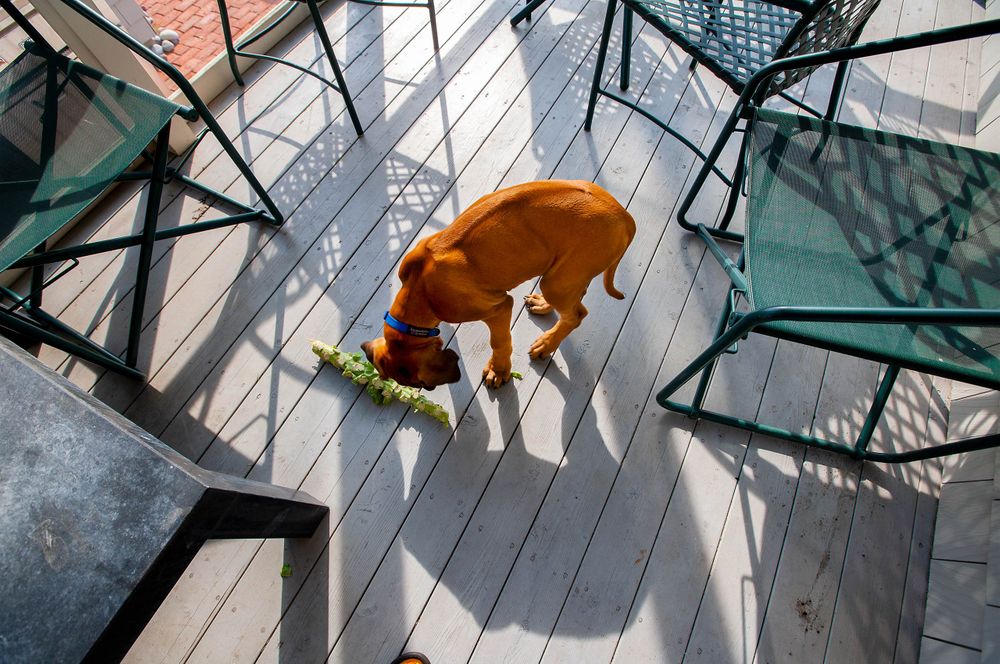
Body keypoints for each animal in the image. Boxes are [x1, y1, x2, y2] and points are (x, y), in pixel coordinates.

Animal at [364, 180, 636, 390]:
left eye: (419, 384)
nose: (428, 388)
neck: (419, 288)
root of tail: (624, 215)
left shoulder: (498, 308)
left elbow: (500, 341)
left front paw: (499, 370)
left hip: (559, 281)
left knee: (577, 314)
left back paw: (547, 343)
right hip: (564, 273)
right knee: (576, 297)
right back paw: (543, 306)